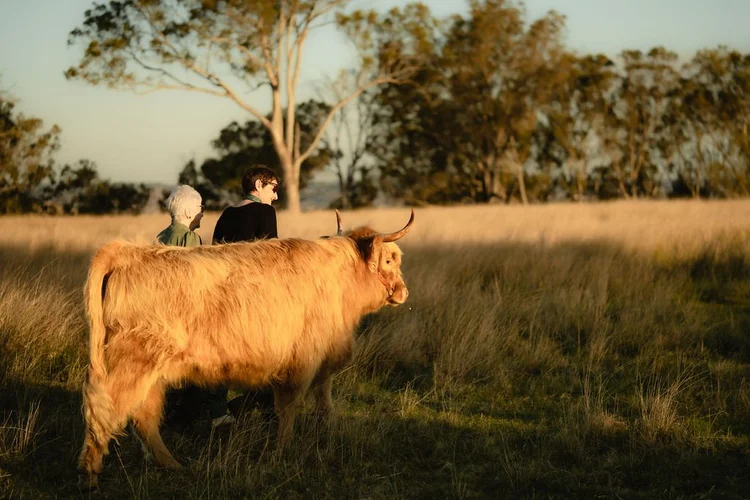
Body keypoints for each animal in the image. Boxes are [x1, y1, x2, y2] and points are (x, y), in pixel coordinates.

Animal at [78, 210, 414, 488]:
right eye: (389, 260)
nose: (403, 292)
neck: (342, 285)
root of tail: (129, 251)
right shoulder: (301, 362)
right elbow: (288, 408)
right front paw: (282, 451)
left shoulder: (324, 358)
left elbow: (324, 401)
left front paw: (325, 431)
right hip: (132, 361)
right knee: (104, 406)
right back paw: (91, 473)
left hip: (152, 371)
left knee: (145, 416)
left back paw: (173, 465)